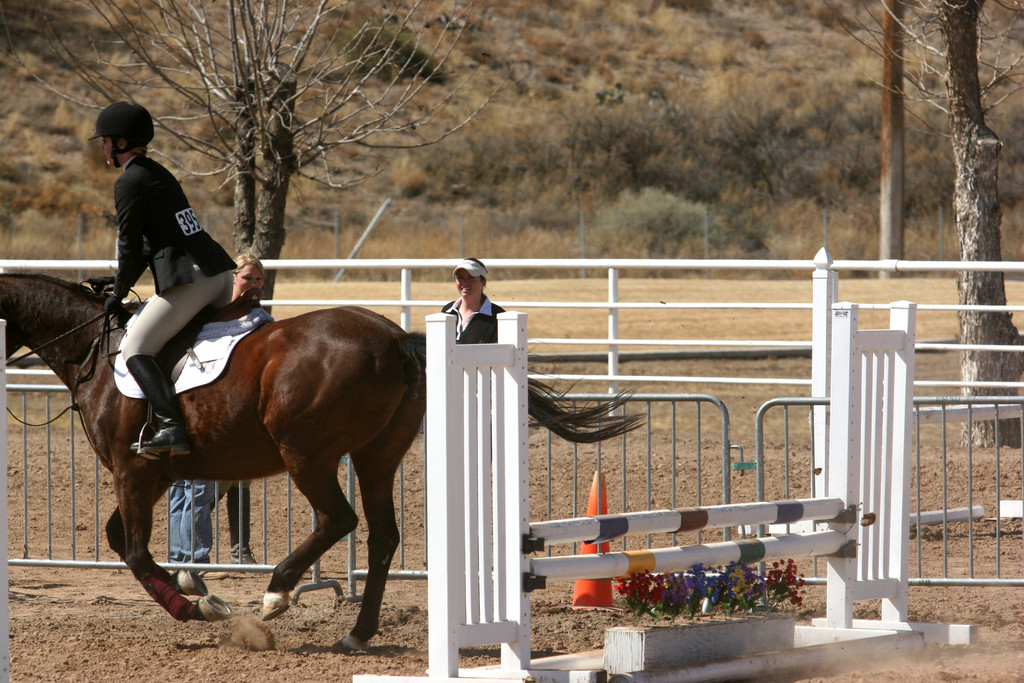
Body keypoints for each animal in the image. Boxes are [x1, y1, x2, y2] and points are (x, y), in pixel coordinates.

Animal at [2, 272, 638, 651]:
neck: (96, 352)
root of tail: (395, 338)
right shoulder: (149, 474)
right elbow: (119, 542)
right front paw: (198, 591)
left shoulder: (134, 472)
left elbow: (134, 552)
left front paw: (198, 608)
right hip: (375, 455)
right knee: (381, 535)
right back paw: (357, 633)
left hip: (305, 454)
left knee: (339, 520)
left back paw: (277, 594)